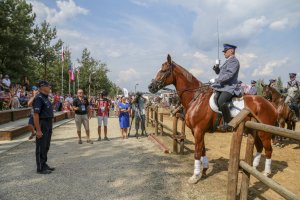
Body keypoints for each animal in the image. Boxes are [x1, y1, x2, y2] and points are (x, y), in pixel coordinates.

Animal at [149, 55, 278, 184]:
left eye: (164, 70)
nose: (150, 87)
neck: (196, 98)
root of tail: (270, 104)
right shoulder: (196, 131)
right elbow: (202, 150)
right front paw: (204, 170)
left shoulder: (198, 130)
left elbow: (197, 152)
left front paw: (195, 176)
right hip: (254, 131)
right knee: (260, 148)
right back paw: (253, 168)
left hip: (264, 133)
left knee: (268, 150)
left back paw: (266, 173)